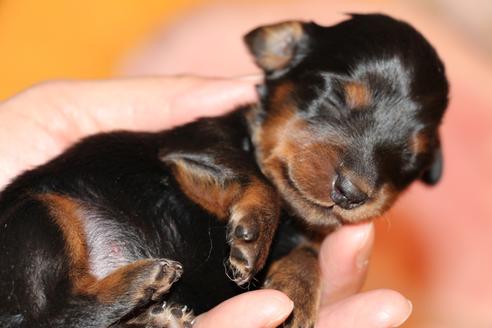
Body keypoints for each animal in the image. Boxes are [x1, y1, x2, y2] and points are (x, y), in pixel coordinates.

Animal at [0, 14, 448, 328]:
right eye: (335, 96)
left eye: (412, 159)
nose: (352, 193)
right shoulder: (191, 148)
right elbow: (256, 178)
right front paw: (253, 239)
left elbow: (308, 252)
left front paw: (296, 296)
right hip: (41, 215)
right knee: (50, 312)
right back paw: (143, 283)